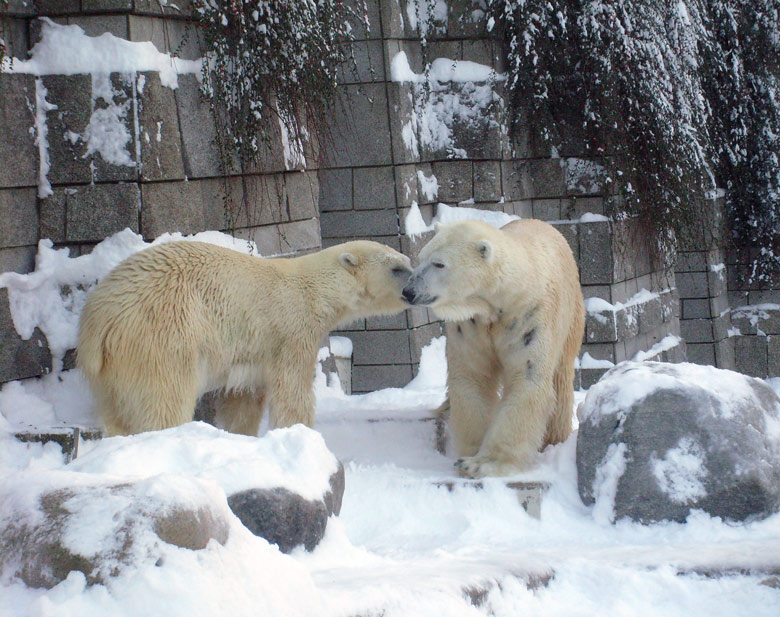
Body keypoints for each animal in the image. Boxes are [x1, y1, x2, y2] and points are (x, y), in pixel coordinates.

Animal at [76, 238, 412, 436]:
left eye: (407, 263)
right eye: (397, 268)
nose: (413, 287)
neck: (315, 288)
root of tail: (98, 318)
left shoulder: (252, 351)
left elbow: (243, 400)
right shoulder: (291, 329)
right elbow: (292, 391)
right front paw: (299, 432)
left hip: (110, 368)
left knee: (116, 412)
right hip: (162, 335)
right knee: (164, 400)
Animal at [402, 219, 580, 478]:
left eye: (439, 263)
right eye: (421, 257)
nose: (408, 291)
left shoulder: (530, 319)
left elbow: (526, 379)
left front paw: (483, 463)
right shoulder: (470, 325)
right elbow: (471, 379)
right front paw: (470, 455)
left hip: (570, 315)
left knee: (561, 378)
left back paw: (554, 438)